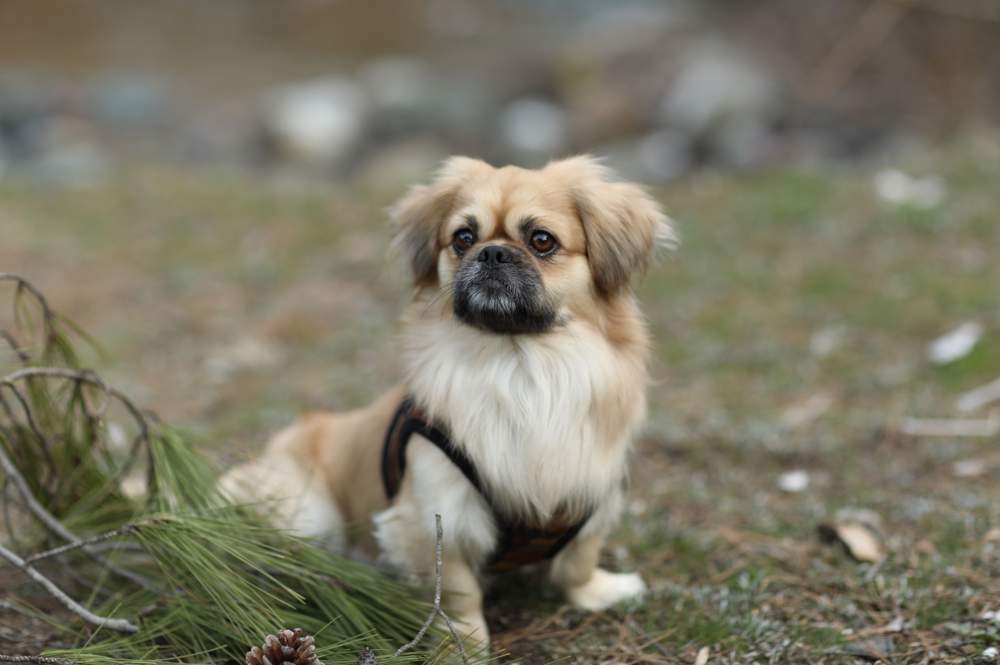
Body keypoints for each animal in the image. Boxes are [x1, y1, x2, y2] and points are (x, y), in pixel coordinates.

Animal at [219, 154, 672, 644]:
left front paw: (599, 593)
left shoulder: (591, 491)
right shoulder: (436, 515)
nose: (492, 252)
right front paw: (465, 644)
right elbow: (457, 592)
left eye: (541, 240)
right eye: (463, 238)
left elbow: (578, 562)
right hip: (310, 510)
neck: (519, 366)